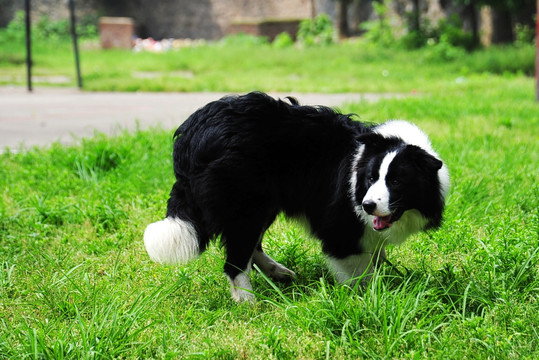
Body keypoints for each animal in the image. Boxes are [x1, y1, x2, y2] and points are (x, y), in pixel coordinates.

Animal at [142, 91, 448, 302]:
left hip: (263, 203)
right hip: (244, 202)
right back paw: (249, 301)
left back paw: (277, 272)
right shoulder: (340, 224)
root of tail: (191, 134)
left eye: (396, 181)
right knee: (236, 258)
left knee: (251, 245)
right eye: (372, 178)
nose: (368, 205)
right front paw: (369, 298)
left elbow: (376, 253)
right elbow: (358, 269)